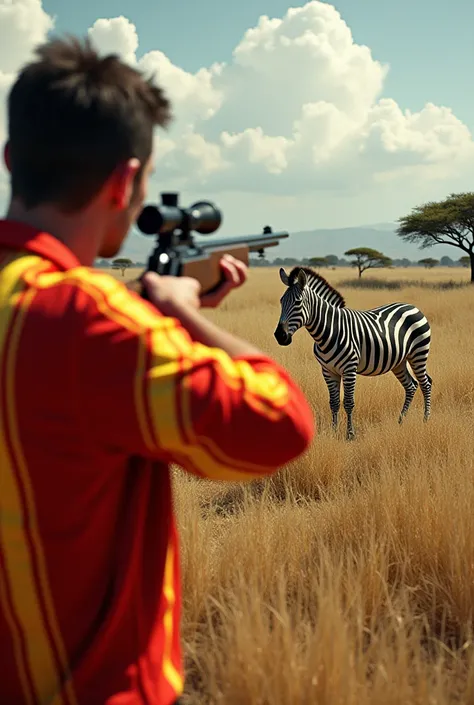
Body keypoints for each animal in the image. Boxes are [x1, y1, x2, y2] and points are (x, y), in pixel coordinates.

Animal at [274, 266, 434, 438]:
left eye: (298, 302)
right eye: (281, 301)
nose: (280, 336)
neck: (328, 331)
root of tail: (412, 306)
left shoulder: (349, 369)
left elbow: (348, 402)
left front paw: (350, 435)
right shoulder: (328, 370)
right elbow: (334, 402)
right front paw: (334, 431)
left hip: (418, 354)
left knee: (426, 384)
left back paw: (426, 420)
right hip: (399, 362)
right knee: (411, 386)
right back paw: (400, 421)